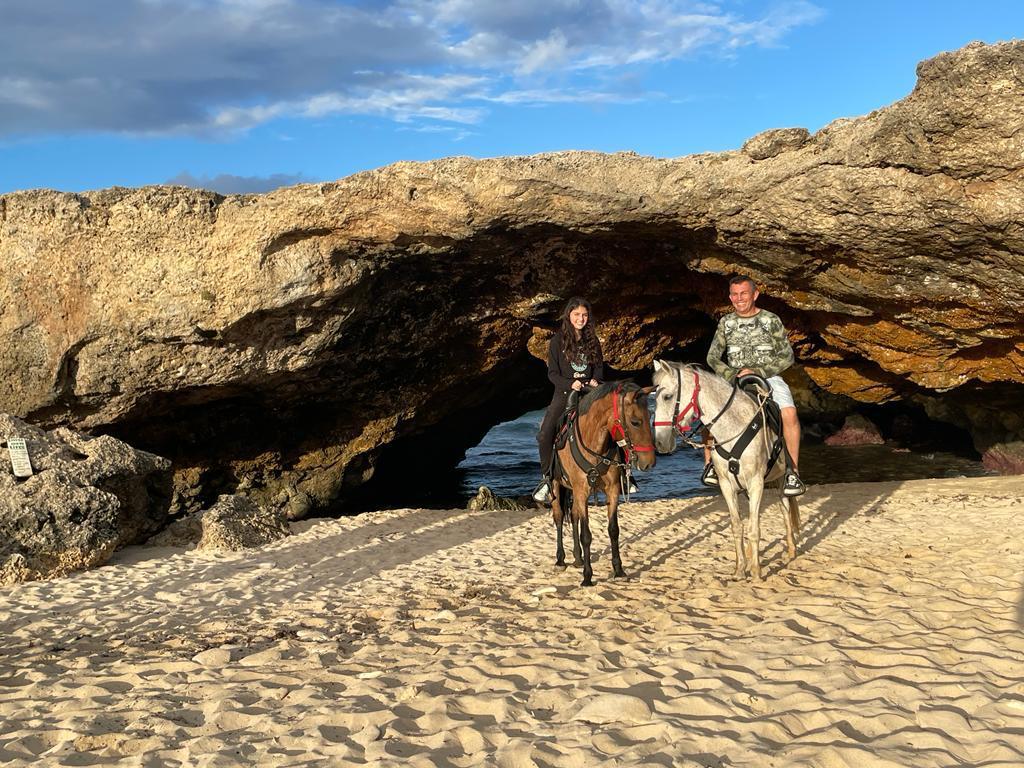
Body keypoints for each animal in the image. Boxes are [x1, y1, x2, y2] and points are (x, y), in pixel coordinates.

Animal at [552, 382, 655, 585]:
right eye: (635, 422)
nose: (649, 462)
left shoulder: (612, 490)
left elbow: (613, 530)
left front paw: (619, 570)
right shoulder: (582, 491)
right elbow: (586, 535)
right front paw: (587, 577)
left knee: (573, 516)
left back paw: (578, 558)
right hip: (556, 486)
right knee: (559, 516)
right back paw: (560, 560)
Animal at [651, 360, 802, 581]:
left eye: (667, 396)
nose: (660, 443)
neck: (734, 427)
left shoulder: (756, 483)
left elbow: (754, 529)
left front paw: (756, 572)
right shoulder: (727, 486)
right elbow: (737, 526)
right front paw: (740, 569)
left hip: (781, 479)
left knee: (785, 510)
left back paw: (791, 551)